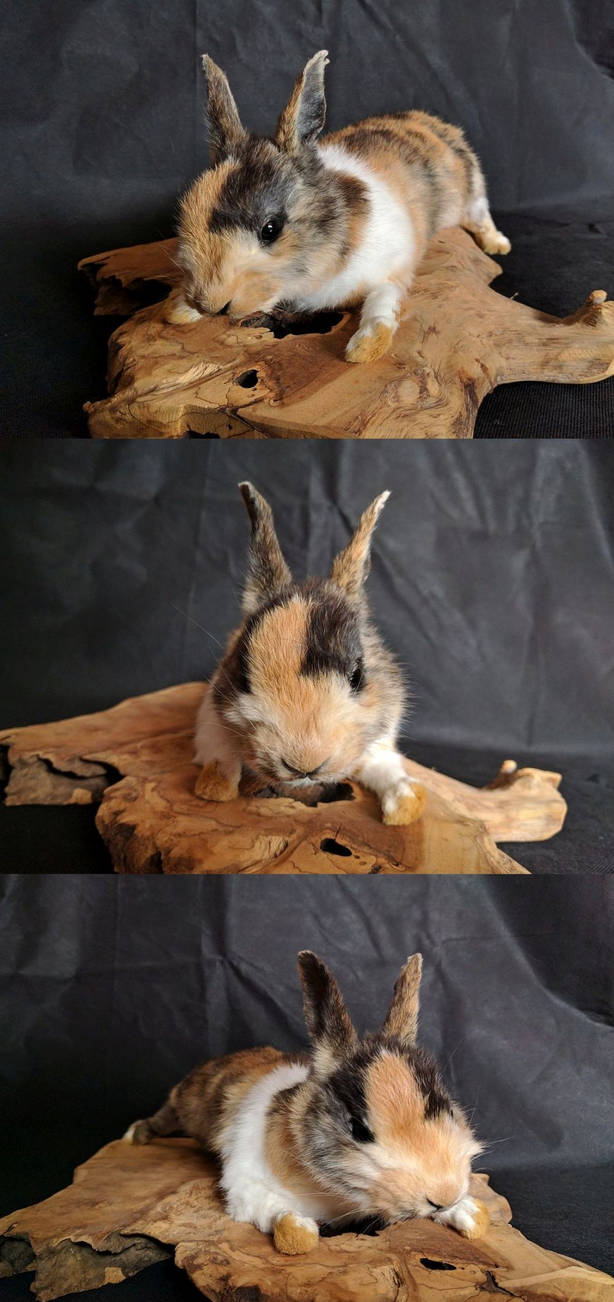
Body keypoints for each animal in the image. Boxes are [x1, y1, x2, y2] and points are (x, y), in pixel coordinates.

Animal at [123, 951, 489, 1254]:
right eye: (358, 1129)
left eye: (449, 1110)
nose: (443, 1194)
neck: (335, 1196)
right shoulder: (244, 1184)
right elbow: (279, 1217)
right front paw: (298, 1231)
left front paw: (471, 1214)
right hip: (184, 1100)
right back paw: (136, 1135)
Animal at [167, 50, 510, 364]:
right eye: (187, 211)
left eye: (270, 229)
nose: (211, 303)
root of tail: (429, 120)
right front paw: (179, 311)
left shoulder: (395, 268)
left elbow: (382, 303)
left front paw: (365, 349)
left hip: (472, 192)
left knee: (482, 217)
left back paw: (498, 246)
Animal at [192, 481, 426, 826]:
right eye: (243, 676)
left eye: (358, 675)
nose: (304, 762)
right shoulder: (210, 716)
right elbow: (220, 751)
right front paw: (213, 787)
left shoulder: (381, 739)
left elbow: (384, 766)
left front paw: (405, 808)